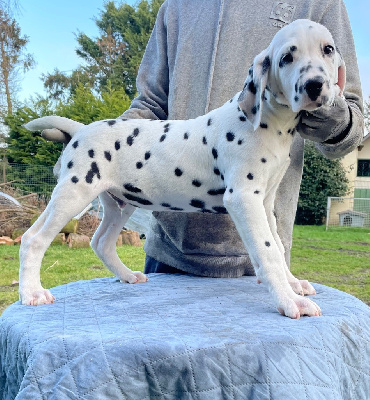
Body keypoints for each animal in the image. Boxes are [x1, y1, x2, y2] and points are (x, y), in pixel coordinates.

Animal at [21, 19, 344, 318]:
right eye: (286, 57)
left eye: (328, 50)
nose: (315, 85)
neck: (269, 122)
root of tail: (80, 129)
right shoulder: (244, 199)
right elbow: (268, 252)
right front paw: (290, 300)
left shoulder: (264, 203)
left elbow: (277, 245)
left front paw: (293, 285)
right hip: (73, 194)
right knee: (33, 238)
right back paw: (32, 293)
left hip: (119, 203)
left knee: (100, 242)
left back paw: (127, 276)